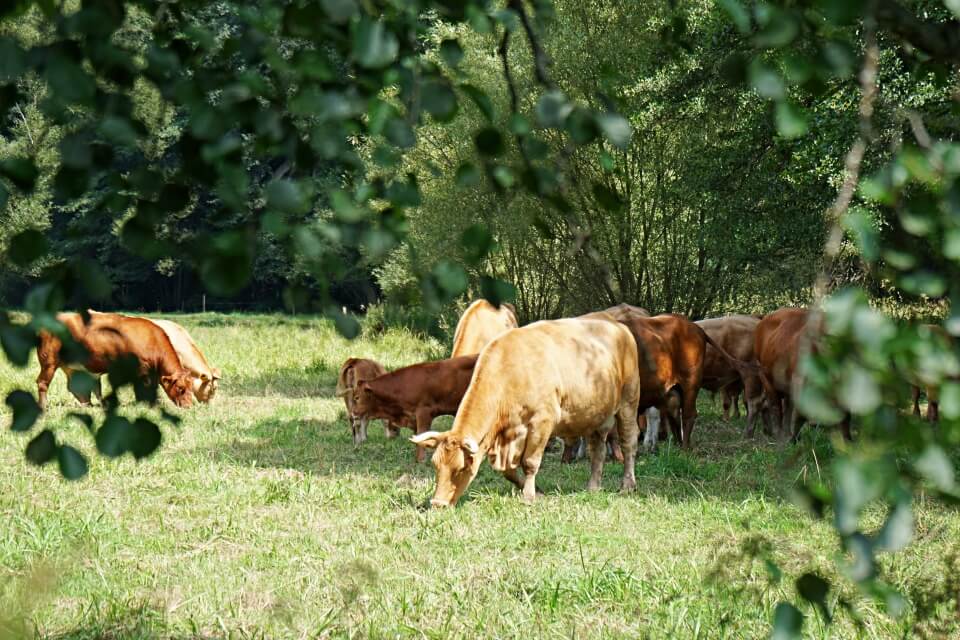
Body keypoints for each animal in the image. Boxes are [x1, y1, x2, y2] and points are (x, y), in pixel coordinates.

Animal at [36, 312, 194, 410]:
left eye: (191, 387)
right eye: (180, 388)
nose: (188, 406)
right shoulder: (142, 371)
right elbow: (145, 388)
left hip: (73, 367)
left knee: (78, 388)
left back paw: (91, 405)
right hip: (49, 362)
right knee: (42, 383)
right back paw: (44, 407)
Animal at [406, 318, 636, 508]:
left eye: (461, 468)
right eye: (436, 465)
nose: (438, 504)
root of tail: (618, 326)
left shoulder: (542, 422)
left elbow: (530, 462)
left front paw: (529, 496)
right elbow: (508, 471)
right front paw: (537, 491)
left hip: (629, 403)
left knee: (628, 445)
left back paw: (627, 485)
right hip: (595, 416)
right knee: (598, 450)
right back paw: (593, 487)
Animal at [752, 308, 852, 440]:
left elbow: (845, 414)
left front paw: (848, 441)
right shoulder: (799, 379)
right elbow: (800, 412)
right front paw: (792, 439)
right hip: (764, 375)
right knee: (775, 404)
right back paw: (778, 433)